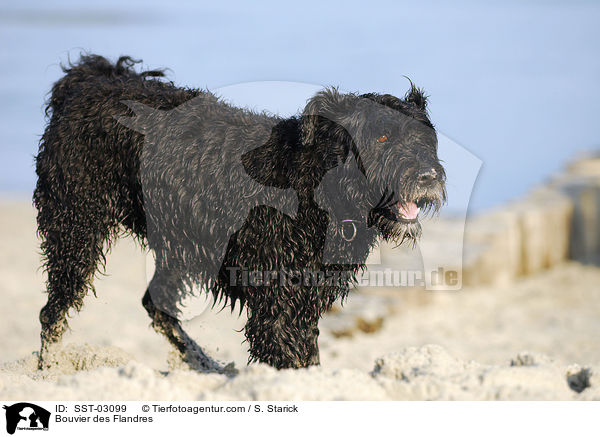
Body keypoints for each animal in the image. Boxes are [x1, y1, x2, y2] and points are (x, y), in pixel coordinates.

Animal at [34, 53, 446, 368]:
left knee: (156, 306)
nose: (428, 176)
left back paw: (204, 363)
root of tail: (87, 82)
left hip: (178, 242)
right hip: (76, 224)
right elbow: (287, 356)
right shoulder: (277, 306)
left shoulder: (305, 299)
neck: (312, 187)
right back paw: (48, 368)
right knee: (53, 313)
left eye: (423, 138)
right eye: (382, 137)